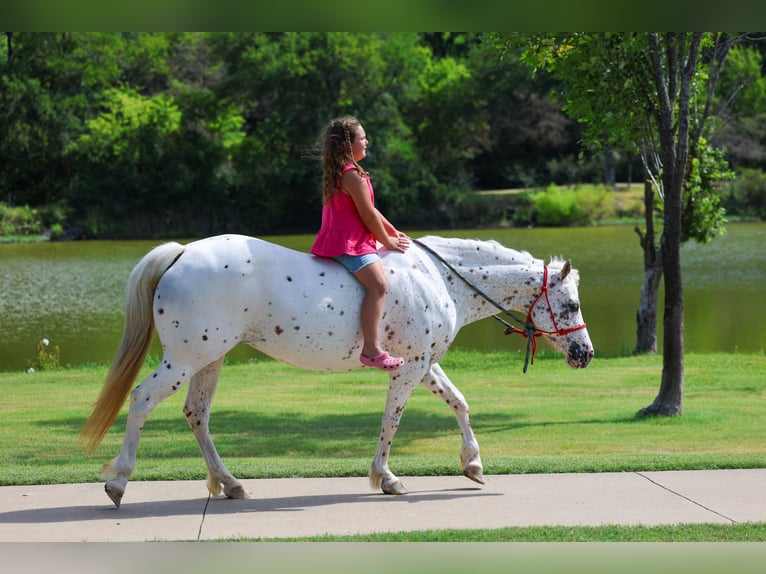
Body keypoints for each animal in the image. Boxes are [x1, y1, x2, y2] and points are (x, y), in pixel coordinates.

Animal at [80, 234, 594, 508]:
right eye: (569, 305)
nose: (585, 354)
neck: (439, 278)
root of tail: (182, 253)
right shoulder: (408, 368)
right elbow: (392, 420)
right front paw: (386, 478)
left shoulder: (424, 364)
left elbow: (459, 403)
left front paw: (473, 464)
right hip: (185, 359)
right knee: (142, 400)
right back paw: (118, 481)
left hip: (210, 360)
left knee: (197, 416)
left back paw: (230, 484)